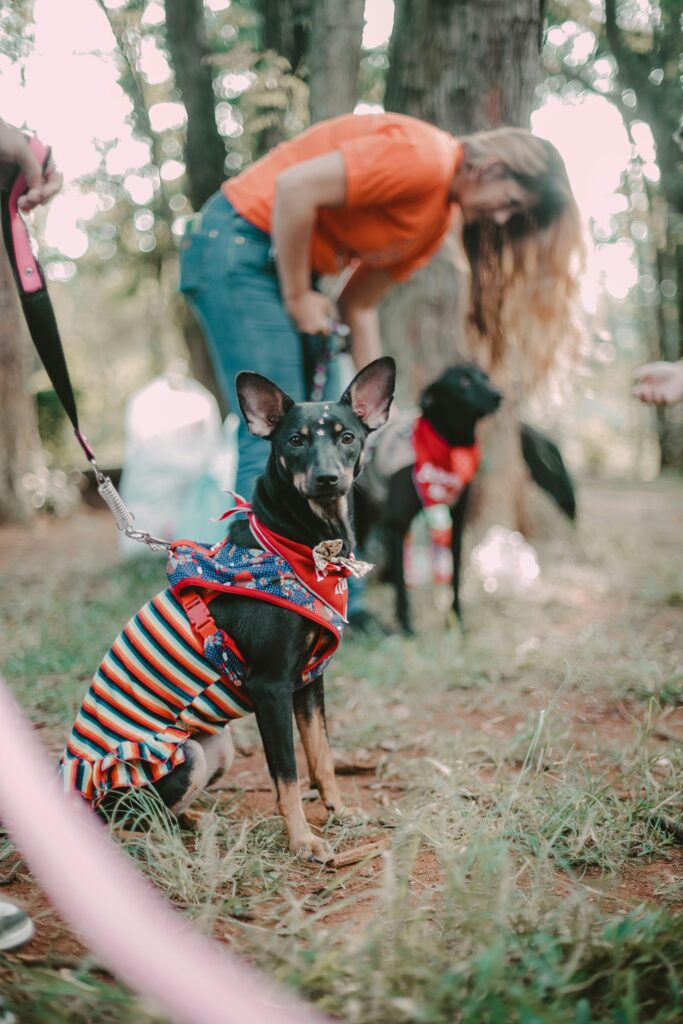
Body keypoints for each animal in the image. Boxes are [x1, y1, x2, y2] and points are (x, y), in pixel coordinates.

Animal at [63, 356, 397, 860]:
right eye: (295, 440)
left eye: (347, 437)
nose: (327, 478)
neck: (303, 546)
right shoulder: (271, 688)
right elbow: (288, 775)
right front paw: (302, 840)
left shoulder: (309, 682)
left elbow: (321, 758)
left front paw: (339, 812)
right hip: (182, 757)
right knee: (118, 819)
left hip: (215, 746)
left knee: (160, 813)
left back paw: (195, 821)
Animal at [356, 360, 499, 630]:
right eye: (463, 381)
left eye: (485, 377)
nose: (498, 395)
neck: (449, 448)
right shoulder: (398, 525)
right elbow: (402, 586)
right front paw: (406, 626)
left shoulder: (456, 524)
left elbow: (454, 576)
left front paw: (456, 621)